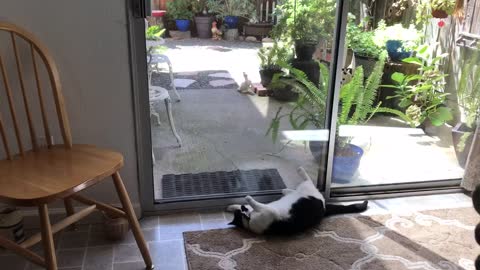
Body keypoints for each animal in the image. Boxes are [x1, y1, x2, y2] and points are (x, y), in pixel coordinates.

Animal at [227, 168, 370, 235]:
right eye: (241, 214)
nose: (243, 208)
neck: (249, 221)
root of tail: (324, 207)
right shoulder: (269, 211)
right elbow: (254, 203)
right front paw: (242, 201)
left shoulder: (266, 209)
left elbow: (252, 203)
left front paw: (234, 204)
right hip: (309, 191)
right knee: (307, 182)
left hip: (304, 190)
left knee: (303, 183)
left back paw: (290, 185)